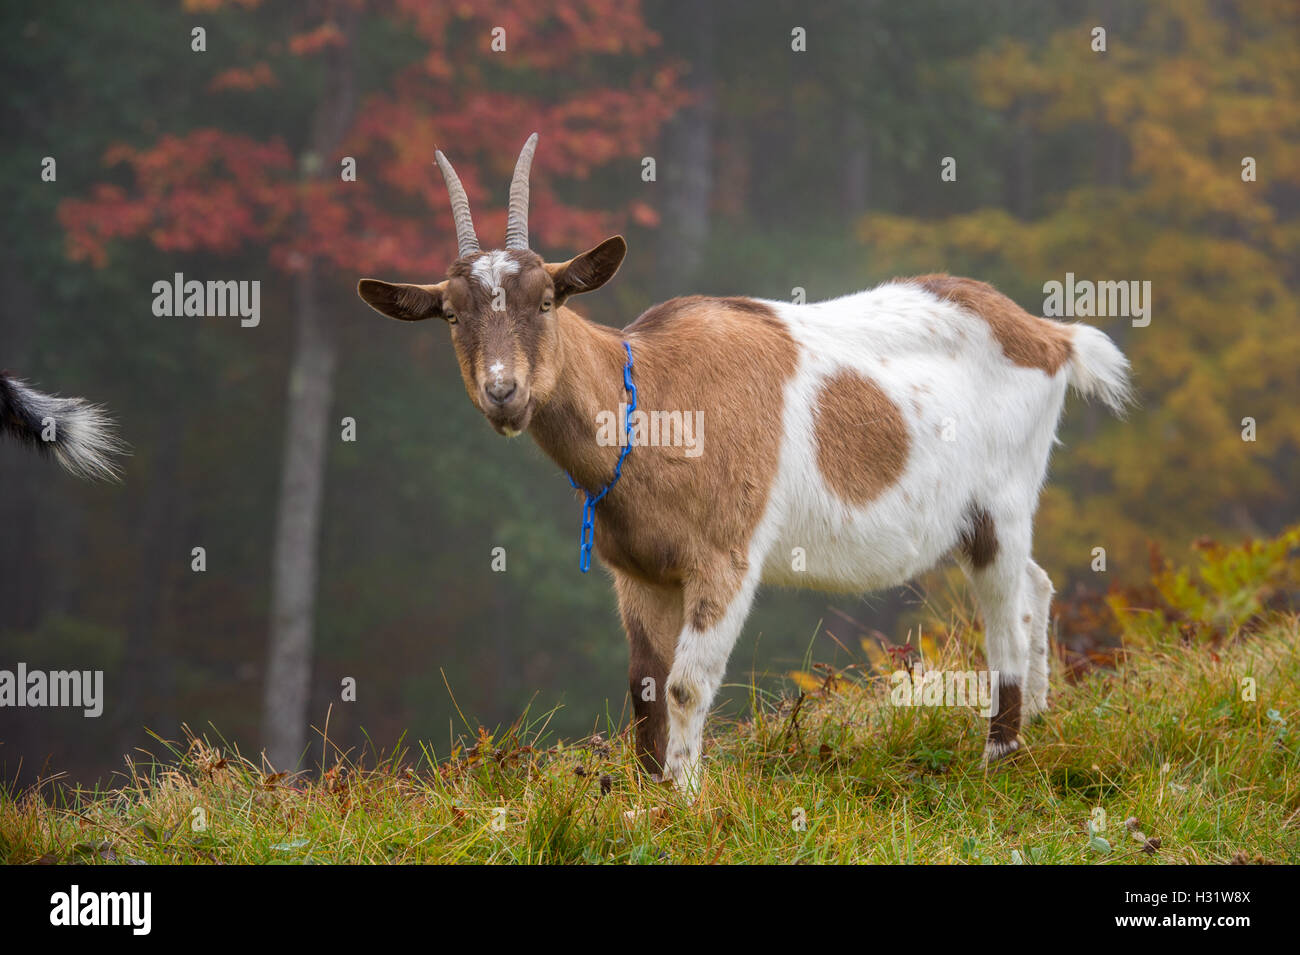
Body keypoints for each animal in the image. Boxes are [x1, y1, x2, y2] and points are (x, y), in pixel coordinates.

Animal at [353, 132, 1128, 789]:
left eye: (547, 298)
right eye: (452, 314)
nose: (503, 393)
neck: (654, 399)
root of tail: (1050, 337)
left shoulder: (724, 556)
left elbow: (686, 683)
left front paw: (686, 798)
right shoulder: (639, 571)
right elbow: (643, 687)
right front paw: (646, 796)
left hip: (1004, 497)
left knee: (1005, 620)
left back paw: (1000, 757)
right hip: (981, 519)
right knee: (1035, 585)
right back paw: (1041, 719)